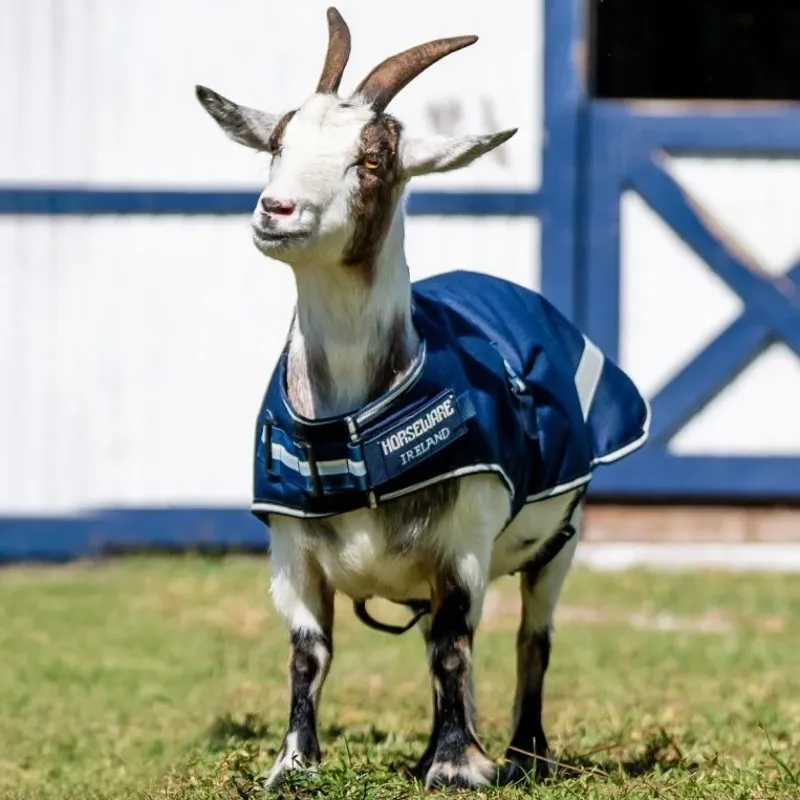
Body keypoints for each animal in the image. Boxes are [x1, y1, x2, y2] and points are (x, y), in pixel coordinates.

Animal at [195, 8, 649, 791]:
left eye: (373, 161)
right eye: (279, 142)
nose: (276, 210)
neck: (351, 419)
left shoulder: (463, 538)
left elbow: (451, 645)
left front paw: (456, 768)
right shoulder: (290, 551)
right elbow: (309, 654)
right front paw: (294, 765)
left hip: (561, 538)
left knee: (531, 639)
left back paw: (524, 754)